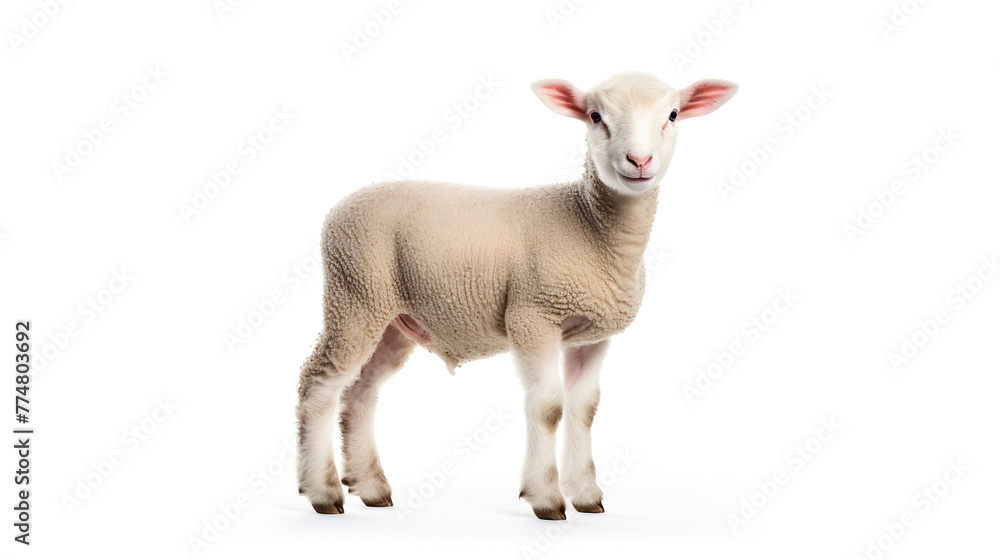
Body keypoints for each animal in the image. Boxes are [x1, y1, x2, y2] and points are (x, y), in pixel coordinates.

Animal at [296, 72, 738, 519]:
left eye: (673, 115)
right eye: (595, 116)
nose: (640, 161)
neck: (590, 227)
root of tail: (338, 210)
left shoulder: (593, 335)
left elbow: (585, 408)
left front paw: (586, 494)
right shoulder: (532, 316)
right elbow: (549, 407)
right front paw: (546, 497)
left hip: (390, 319)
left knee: (360, 393)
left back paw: (371, 487)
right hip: (354, 295)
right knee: (318, 384)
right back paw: (323, 492)